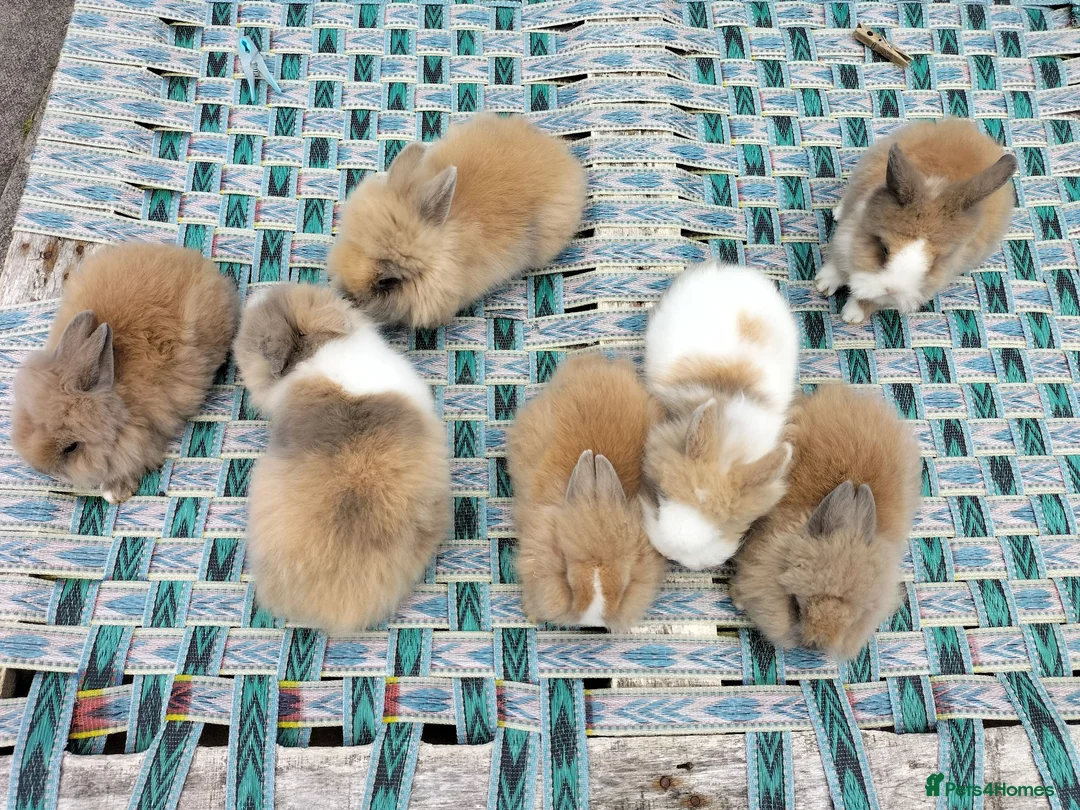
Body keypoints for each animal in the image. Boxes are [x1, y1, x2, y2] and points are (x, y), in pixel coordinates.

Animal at [817, 118, 1017, 324]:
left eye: (934, 263)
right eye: (884, 249)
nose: (892, 290)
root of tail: (979, 137)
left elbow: (872, 300)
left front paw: (852, 315)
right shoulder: (846, 236)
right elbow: (839, 263)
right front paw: (824, 283)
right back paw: (837, 211)